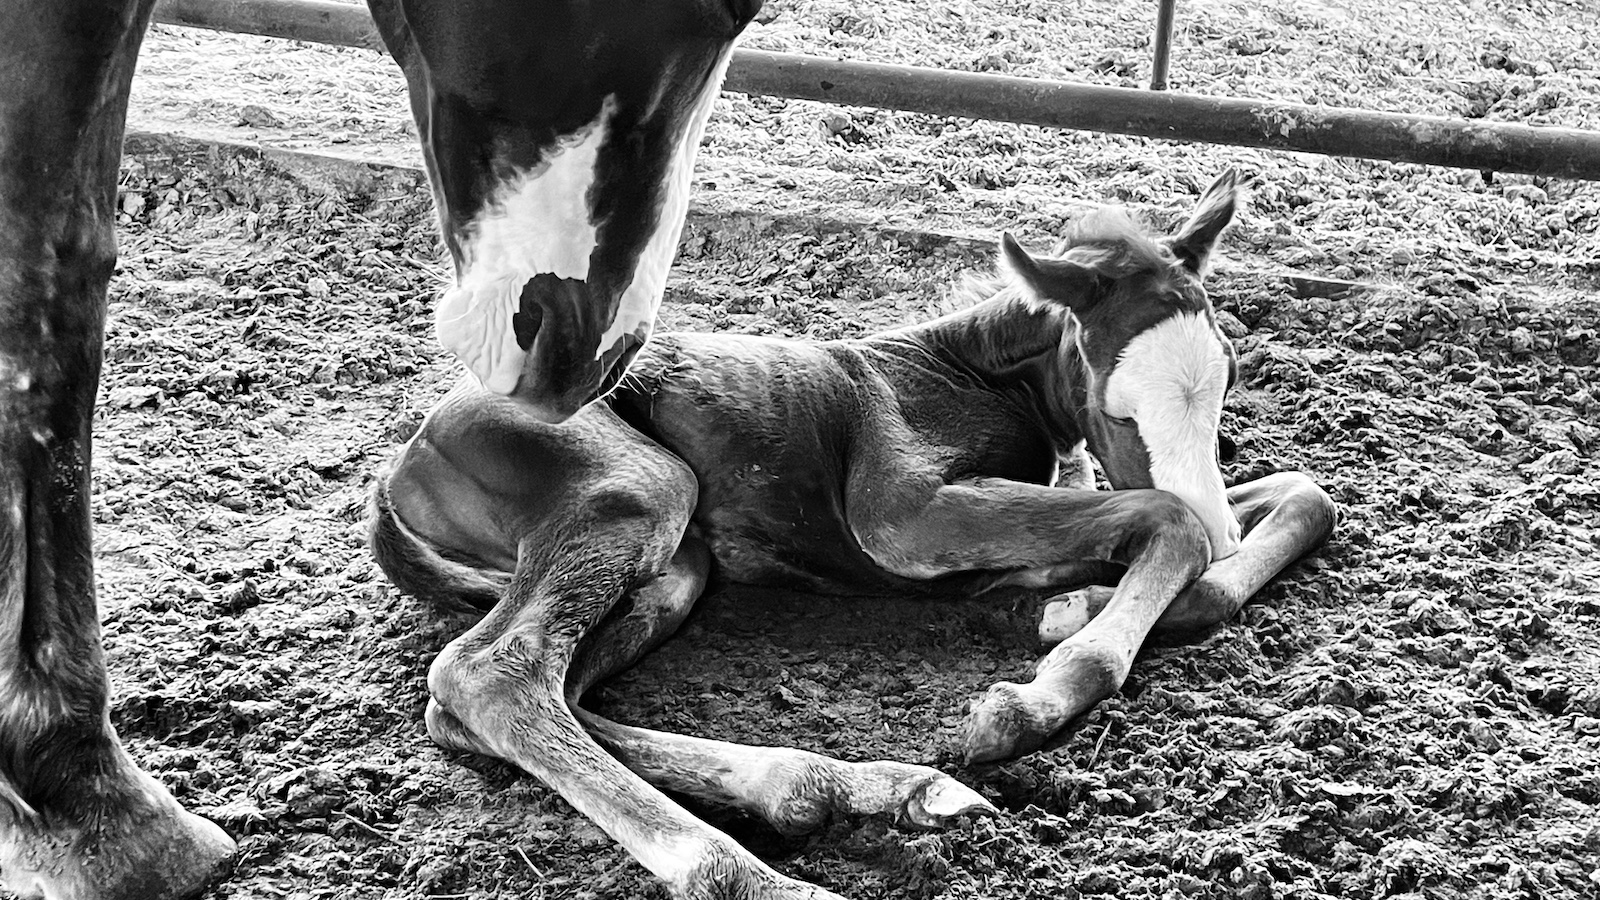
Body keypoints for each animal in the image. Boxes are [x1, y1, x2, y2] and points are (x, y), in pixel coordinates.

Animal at [368, 169, 1339, 899]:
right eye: (1115, 401)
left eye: (1231, 371)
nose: (1226, 537)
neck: (968, 376)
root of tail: (404, 460)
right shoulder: (908, 519)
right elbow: (1170, 520)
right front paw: (1030, 697)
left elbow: (1300, 497)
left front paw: (1090, 599)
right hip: (639, 492)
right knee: (493, 675)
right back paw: (768, 871)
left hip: (676, 566)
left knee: (535, 698)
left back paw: (853, 789)